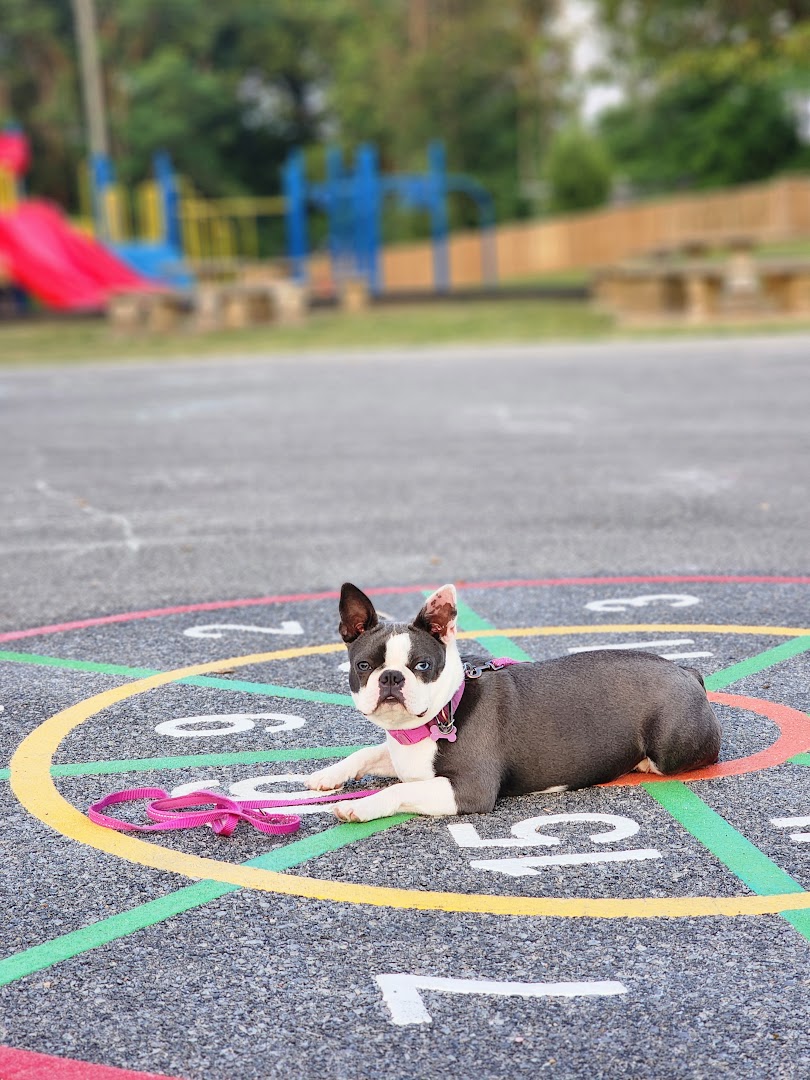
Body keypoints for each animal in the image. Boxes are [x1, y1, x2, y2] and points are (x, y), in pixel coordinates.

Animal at [306, 587, 721, 820]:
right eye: (364, 666)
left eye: (422, 666)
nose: (391, 677)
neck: (441, 715)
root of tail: (686, 670)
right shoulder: (404, 756)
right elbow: (366, 753)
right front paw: (328, 775)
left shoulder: (469, 789)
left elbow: (398, 790)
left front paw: (359, 806)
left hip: (671, 744)